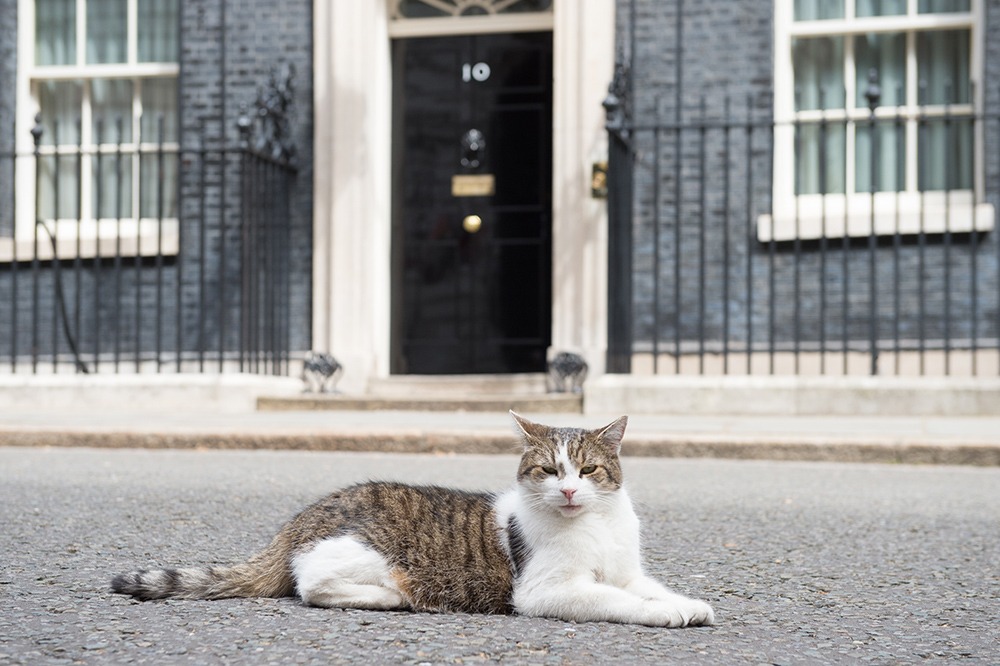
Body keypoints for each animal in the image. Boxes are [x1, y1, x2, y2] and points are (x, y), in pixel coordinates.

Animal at [113, 408, 716, 624]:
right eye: (549, 471)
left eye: (588, 470)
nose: (568, 491)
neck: (595, 526)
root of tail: (302, 518)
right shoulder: (545, 590)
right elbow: (617, 600)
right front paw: (663, 615)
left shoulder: (628, 570)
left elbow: (647, 588)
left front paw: (687, 604)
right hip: (366, 554)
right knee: (312, 583)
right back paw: (392, 597)